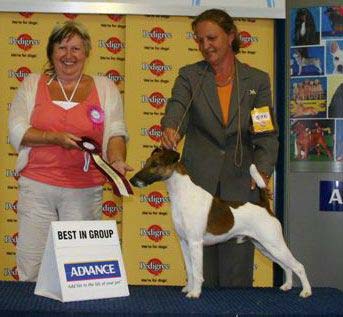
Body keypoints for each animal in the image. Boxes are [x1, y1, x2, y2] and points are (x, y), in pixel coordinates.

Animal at [130, 148, 314, 298]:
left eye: (155, 164)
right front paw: (189, 288)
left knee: (299, 266)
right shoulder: (184, 242)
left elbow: (197, 272)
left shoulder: (195, 243)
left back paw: (306, 291)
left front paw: (195, 293)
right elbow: (189, 269)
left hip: (274, 244)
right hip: (265, 247)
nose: (132, 180)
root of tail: (264, 206)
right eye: (147, 162)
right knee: (287, 266)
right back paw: (287, 286)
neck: (183, 195)